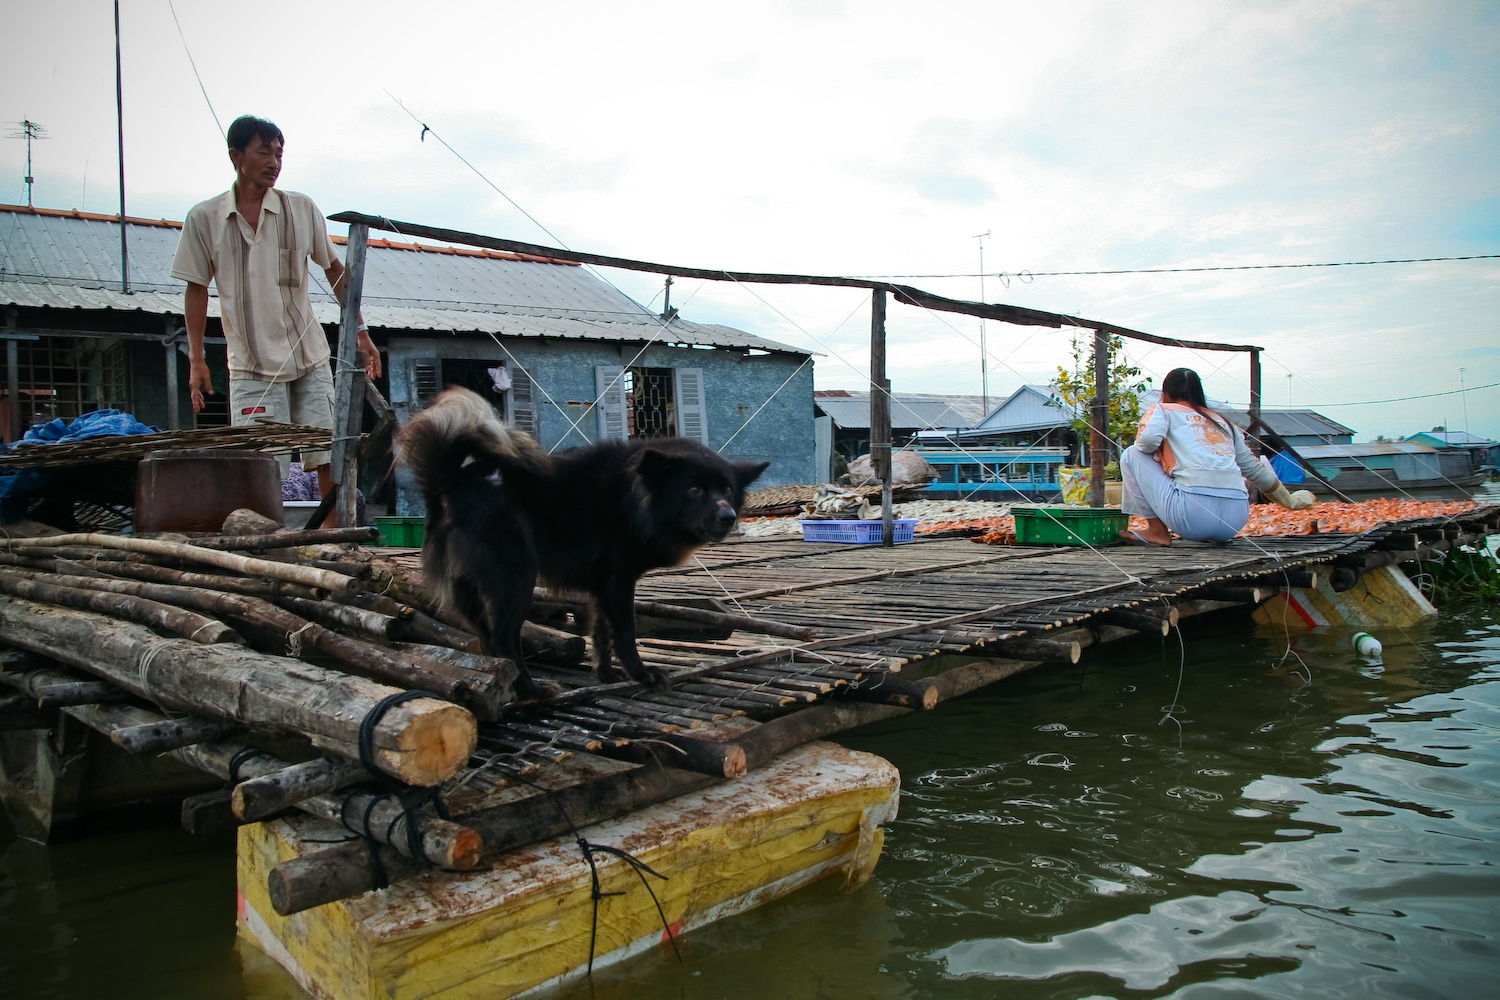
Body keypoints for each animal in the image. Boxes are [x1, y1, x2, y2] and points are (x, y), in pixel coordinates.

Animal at [399, 386, 768, 701]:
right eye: (694, 490)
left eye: (727, 490)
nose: (729, 517)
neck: (634, 501)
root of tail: (450, 483)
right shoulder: (618, 580)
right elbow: (625, 632)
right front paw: (642, 675)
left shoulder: (602, 584)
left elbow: (601, 631)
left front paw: (606, 674)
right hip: (515, 578)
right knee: (504, 637)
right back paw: (531, 690)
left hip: (471, 591)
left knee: (486, 636)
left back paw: (501, 685)